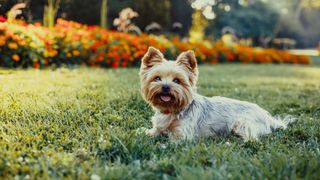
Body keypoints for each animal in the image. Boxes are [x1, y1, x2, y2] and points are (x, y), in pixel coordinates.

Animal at [140, 46, 296, 142]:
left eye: (177, 81)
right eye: (157, 78)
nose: (165, 87)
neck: (172, 109)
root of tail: (268, 117)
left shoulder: (182, 136)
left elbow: (170, 142)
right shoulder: (157, 128)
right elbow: (152, 132)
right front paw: (142, 132)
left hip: (242, 123)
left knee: (252, 138)